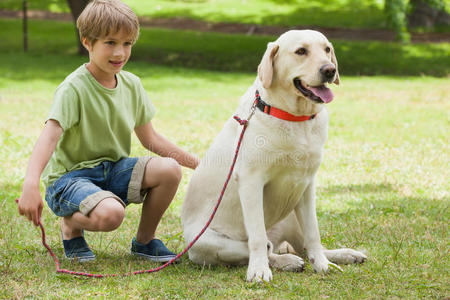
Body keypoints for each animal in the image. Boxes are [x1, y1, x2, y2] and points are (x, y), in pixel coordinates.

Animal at [181, 30, 368, 284]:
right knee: (266, 248)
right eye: (301, 51)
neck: (295, 117)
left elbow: (314, 232)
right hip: (206, 242)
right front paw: (259, 271)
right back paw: (287, 261)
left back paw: (343, 255)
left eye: (327, 49)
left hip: (291, 213)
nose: (329, 70)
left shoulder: (306, 184)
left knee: (302, 246)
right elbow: (258, 237)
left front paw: (322, 265)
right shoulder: (251, 182)